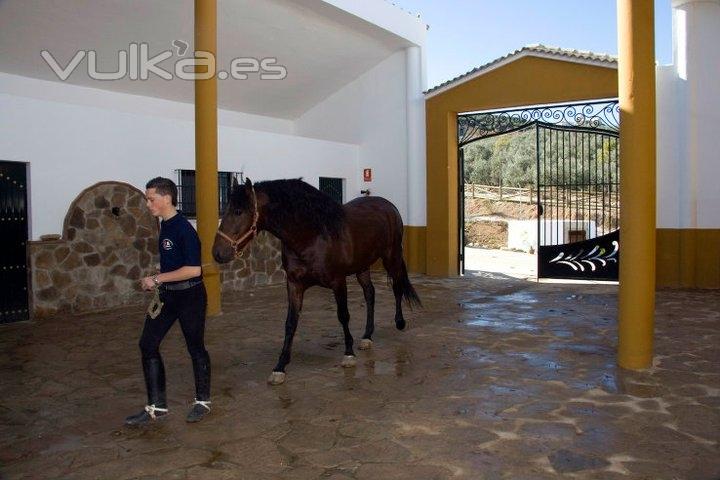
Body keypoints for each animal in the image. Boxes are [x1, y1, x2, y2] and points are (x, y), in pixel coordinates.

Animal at [211, 178, 420, 384]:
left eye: (238, 211)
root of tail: (388, 205)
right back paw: (367, 337)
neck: (311, 236)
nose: (217, 253)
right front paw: (280, 367)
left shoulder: (338, 281)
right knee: (370, 293)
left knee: (397, 286)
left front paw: (348, 354)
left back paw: (399, 322)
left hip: (391, 257)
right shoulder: (294, 285)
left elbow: (343, 315)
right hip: (362, 266)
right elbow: (290, 323)